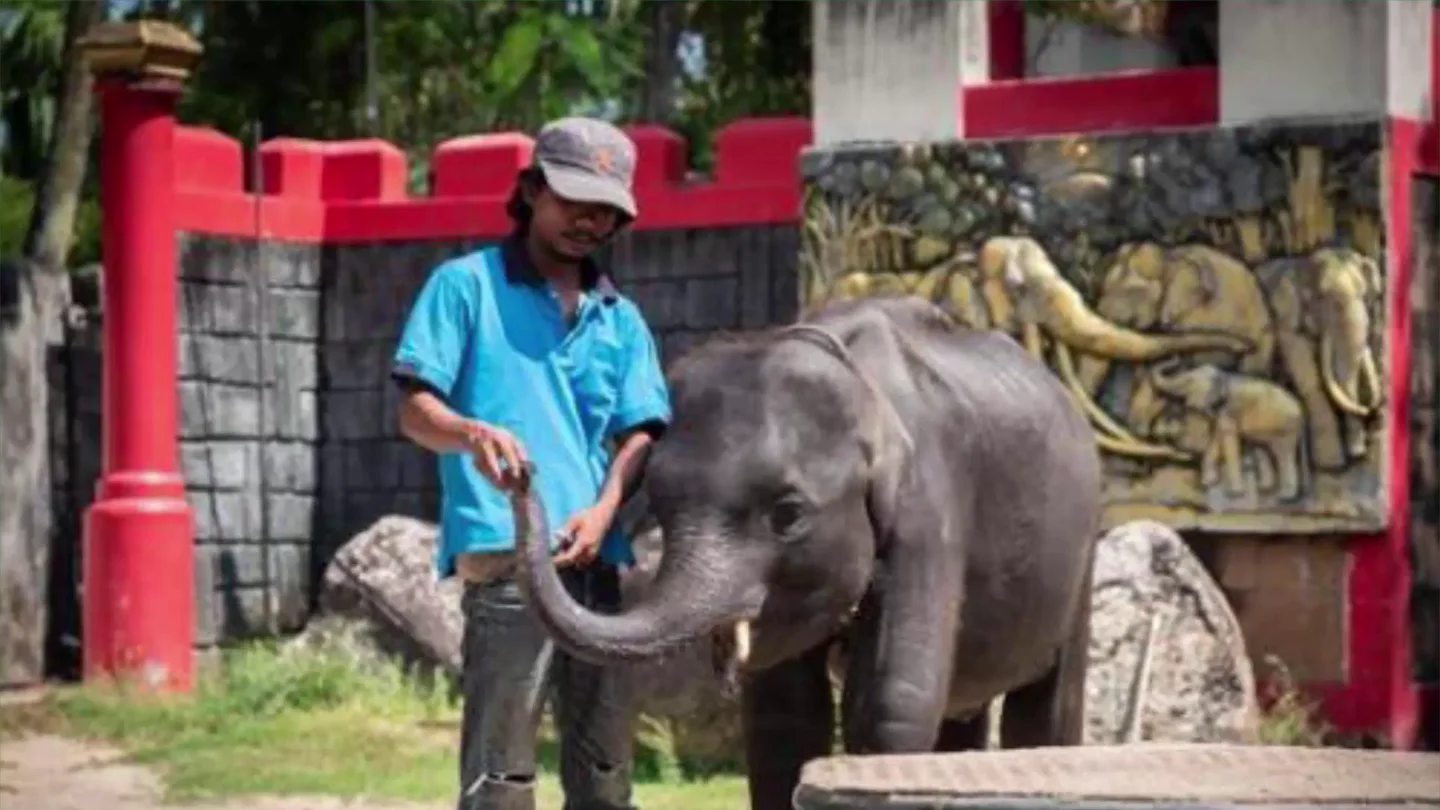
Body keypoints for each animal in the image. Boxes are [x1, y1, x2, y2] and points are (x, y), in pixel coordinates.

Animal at [511, 296, 1104, 810]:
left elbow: (891, 700)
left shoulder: (928, 515)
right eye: (657, 497)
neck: (860, 385)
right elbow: (785, 714)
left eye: (789, 513)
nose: (521, 469)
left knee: (1046, 709)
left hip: (1081, 552)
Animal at [1076, 241, 1276, 449]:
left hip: (1262, 339)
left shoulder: (1198, 316)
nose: (1244, 344)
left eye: (1133, 291)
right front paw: (1143, 430)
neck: (1169, 258)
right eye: (1105, 287)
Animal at [1149, 360, 1307, 501]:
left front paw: (1235, 494)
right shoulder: (1219, 413)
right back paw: (1265, 489)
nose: (1176, 360)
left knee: (1283, 454)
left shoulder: (1229, 410)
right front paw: (1208, 482)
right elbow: (1216, 438)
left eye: (1189, 381)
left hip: (1285, 427)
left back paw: (1286, 497)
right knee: (1262, 449)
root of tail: (1300, 409)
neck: (1224, 376)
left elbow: (1228, 439)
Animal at [1255, 247, 1384, 470]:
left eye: (1362, 293)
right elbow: (1307, 372)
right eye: (1322, 296)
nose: (1368, 409)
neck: (1301, 263)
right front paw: (1332, 464)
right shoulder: (1285, 321)